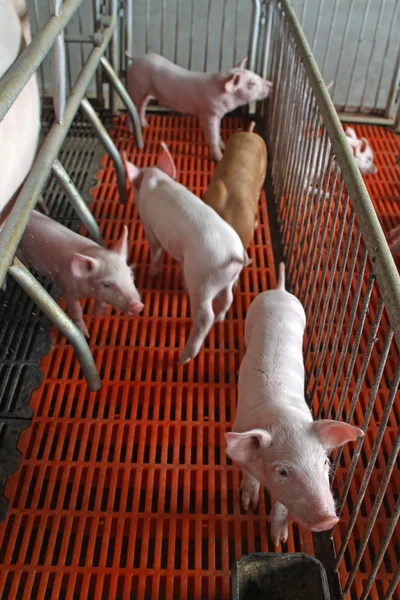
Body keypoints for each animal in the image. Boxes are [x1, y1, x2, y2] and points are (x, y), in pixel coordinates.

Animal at [16, 211, 144, 338]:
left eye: (131, 274)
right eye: (106, 284)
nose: (138, 306)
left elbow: (100, 303)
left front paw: (98, 314)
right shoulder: (67, 288)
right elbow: (76, 311)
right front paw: (85, 335)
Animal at [123, 143, 252, 364]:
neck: (156, 180)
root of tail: (233, 254)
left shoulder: (149, 227)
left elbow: (156, 250)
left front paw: (152, 274)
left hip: (202, 282)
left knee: (204, 317)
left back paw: (183, 358)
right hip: (227, 278)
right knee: (227, 299)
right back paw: (220, 319)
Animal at [126, 53, 272, 161]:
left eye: (256, 75)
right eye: (251, 84)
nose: (271, 84)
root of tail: (136, 59)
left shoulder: (217, 115)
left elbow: (218, 132)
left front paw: (223, 145)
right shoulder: (208, 113)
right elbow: (213, 135)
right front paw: (219, 158)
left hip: (146, 93)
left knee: (142, 106)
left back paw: (145, 125)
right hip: (136, 87)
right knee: (132, 109)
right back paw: (133, 130)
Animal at [225, 264, 362, 548]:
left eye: (325, 462)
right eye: (283, 471)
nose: (327, 520)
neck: (282, 417)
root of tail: (279, 289)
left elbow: (281, 505)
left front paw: (279, 541)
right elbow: (250, 479)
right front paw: (248, 505)